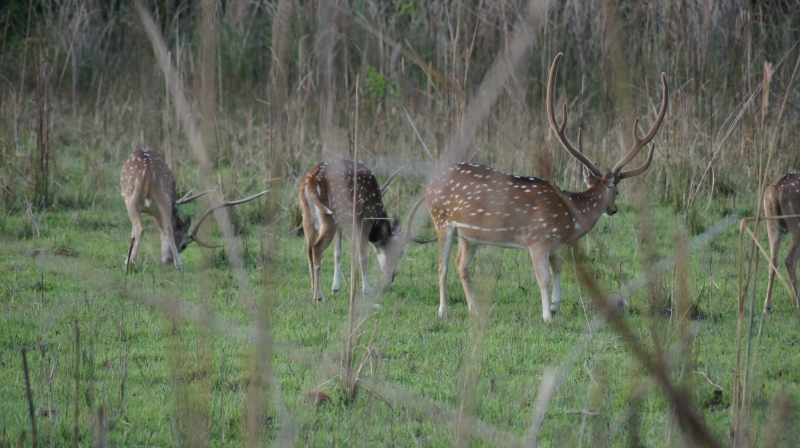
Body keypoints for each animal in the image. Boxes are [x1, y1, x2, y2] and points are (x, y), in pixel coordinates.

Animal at [120, 148, 267, 270]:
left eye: (184, 246)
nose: (168, 260)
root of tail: (146, 168)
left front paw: (128, 259)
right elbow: (133, 231)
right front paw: (127, 258)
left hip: (145, 198)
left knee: (151, 227)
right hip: (143, 197)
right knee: (153, 227)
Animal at [298, 159, 429, 301]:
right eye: (400, 253)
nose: (392, 277)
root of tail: (310, 183)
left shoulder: (341, 226)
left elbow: (338, 253)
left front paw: (335, 288)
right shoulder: (364, 219)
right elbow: (363, 256)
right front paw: (366, 290)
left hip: (307, 217)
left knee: (309, 250)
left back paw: (313, 289)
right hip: (330, 216)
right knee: (317, 248)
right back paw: (319, 296)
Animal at [425, 53, 668, 322]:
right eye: (617, 191)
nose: (614, 209)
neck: (568, 220)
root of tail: (428, 185)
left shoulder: (554, 246)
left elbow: (558, 267)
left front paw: (554, 306)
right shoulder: (538, 240)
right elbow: (542, 278)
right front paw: (547, 316)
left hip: (469, 235)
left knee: (462, 265)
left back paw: (475, 310)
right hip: (441, 221)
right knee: (442, 265)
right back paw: (443, 312)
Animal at [763, 173, 800, 312]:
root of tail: (775, 190)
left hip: (771, 223)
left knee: (772, 260)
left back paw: (767, 307)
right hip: (796, 223)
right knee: (790, 260)